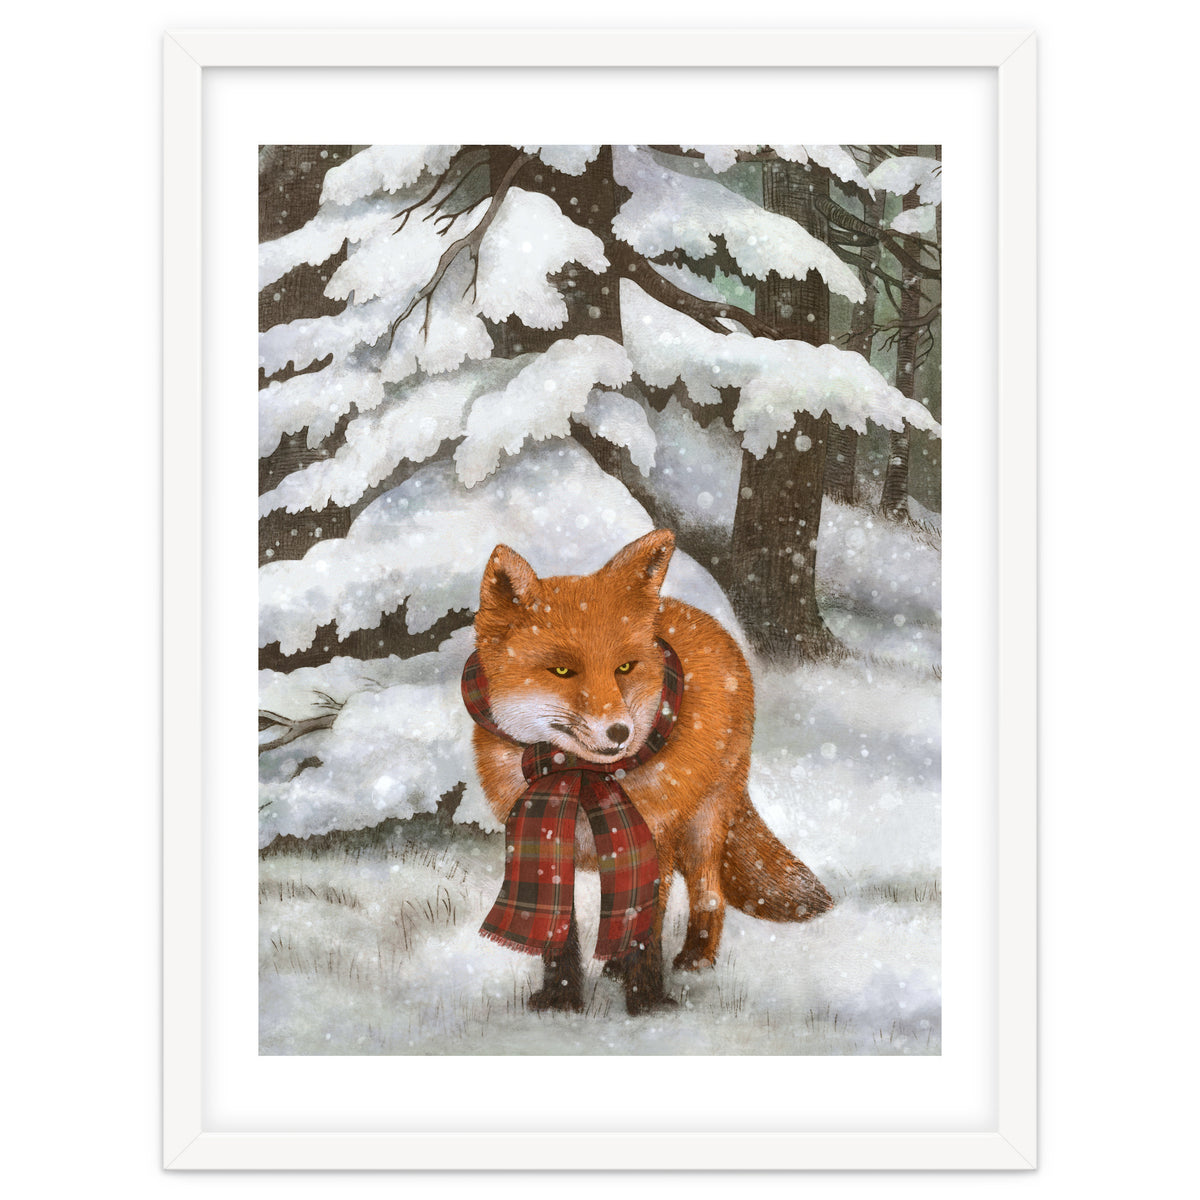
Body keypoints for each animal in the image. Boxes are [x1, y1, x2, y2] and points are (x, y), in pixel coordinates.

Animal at [469, 528, 833, 1014]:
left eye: (624, 667)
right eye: (562, 670)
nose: (619, 732)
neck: (579, 776)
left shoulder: (651, 839)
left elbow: (646, 930)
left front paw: (647, 1004)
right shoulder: (547, 839)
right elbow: (560, 931)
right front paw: (560, 1001)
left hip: (703, 825)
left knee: (709, 894)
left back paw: (695, 959)